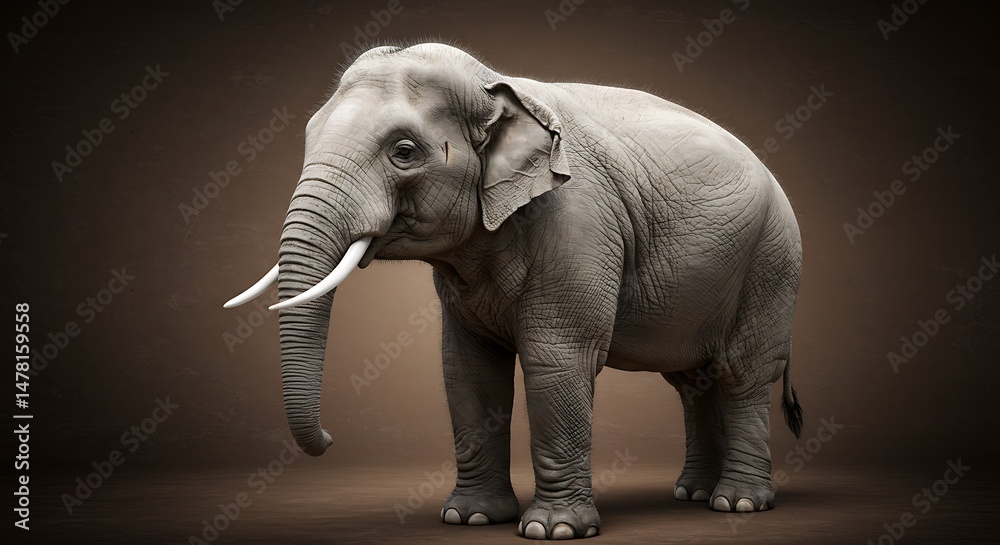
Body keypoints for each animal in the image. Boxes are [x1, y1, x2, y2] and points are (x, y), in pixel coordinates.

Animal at [225, 42, 803, 540]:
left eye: (403, 152)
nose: (328, 440)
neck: (494, 85)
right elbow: (467, 368)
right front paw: (471, 519)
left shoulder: (578, 223)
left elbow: (557, 359)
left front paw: (555, 530)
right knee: (693, 383)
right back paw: (694, 494)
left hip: (772, 262)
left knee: (743, 374)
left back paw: (737, 503)